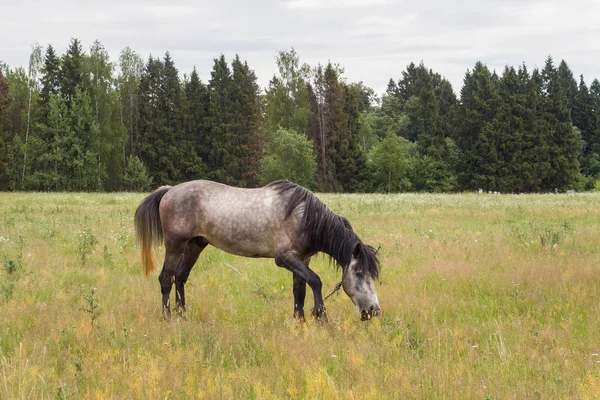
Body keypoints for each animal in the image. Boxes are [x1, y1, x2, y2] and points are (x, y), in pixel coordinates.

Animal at [134, 180, 382, 322]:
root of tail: (168, 191)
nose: (374, 310)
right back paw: (167, 317)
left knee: (181, 277)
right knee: (166, 279)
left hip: (195, 244)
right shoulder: (284, 258)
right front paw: (320, 315)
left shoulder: (302, 260)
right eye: (359, 273)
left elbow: (299, 291)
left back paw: (182, 314)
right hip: (175, 245)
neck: (306, 218)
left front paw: (300, 320)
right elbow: (315, 281)